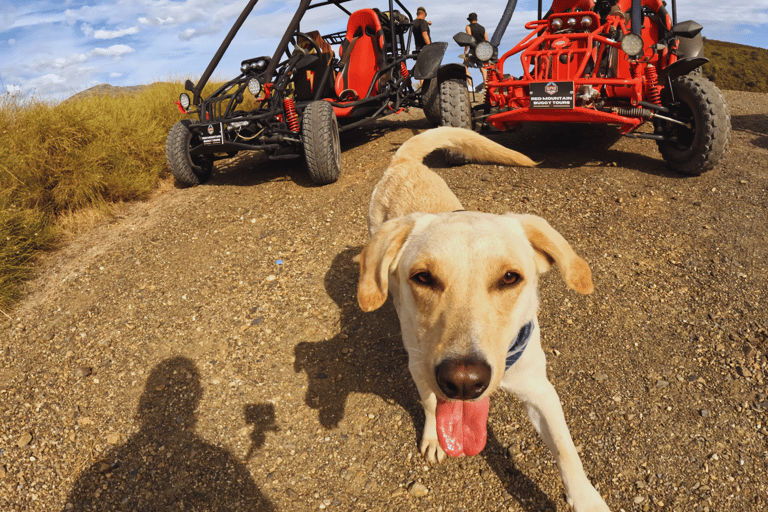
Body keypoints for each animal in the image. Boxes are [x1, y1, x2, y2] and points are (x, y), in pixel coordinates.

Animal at [358, 126, 608, 510]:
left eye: (510, 278)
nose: (463, 382)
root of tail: (403, 160)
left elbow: (566, 449)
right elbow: (430, 402)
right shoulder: (420, 367)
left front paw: (587, 499)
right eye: (423, 277)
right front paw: (434, 438)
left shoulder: (540, 389)